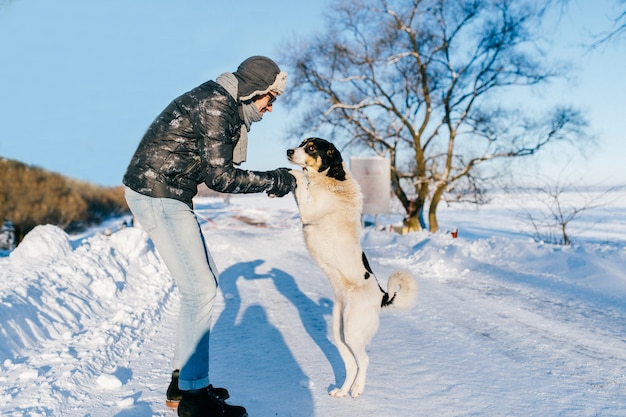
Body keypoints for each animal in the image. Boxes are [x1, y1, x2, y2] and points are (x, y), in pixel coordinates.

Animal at [288, 136, 420, 396]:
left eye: (311, 147)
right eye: (301, 143)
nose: (288, 151)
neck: (331, 180)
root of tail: (382, 295)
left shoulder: (310, 209)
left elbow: (301, 183)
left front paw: (292, 172)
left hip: (352, 330)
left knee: (364, 360)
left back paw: (357, 389)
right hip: (340, 332)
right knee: (351, 364)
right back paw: (343, 390)